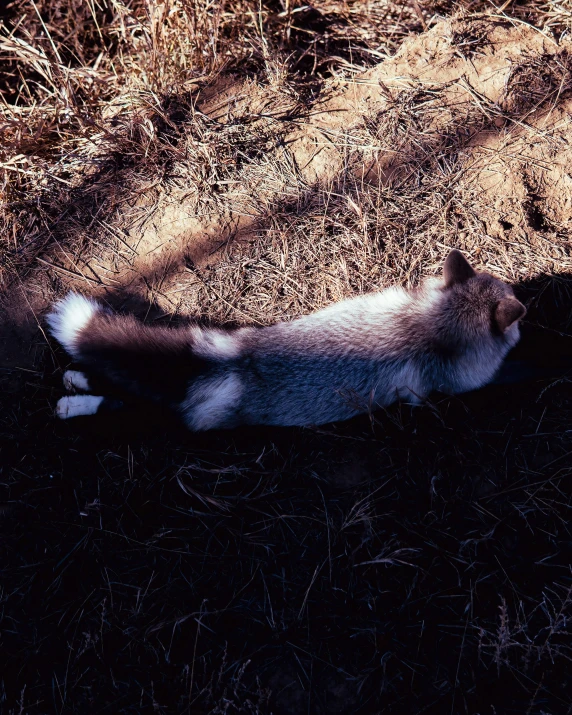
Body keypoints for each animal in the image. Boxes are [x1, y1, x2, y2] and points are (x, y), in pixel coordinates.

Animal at [47, 252, 524, 430]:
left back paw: (75, 388)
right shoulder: (430, 392)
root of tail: (235, 360)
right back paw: (76, 402)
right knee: (131, 408)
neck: (426, 327)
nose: (524, 299)